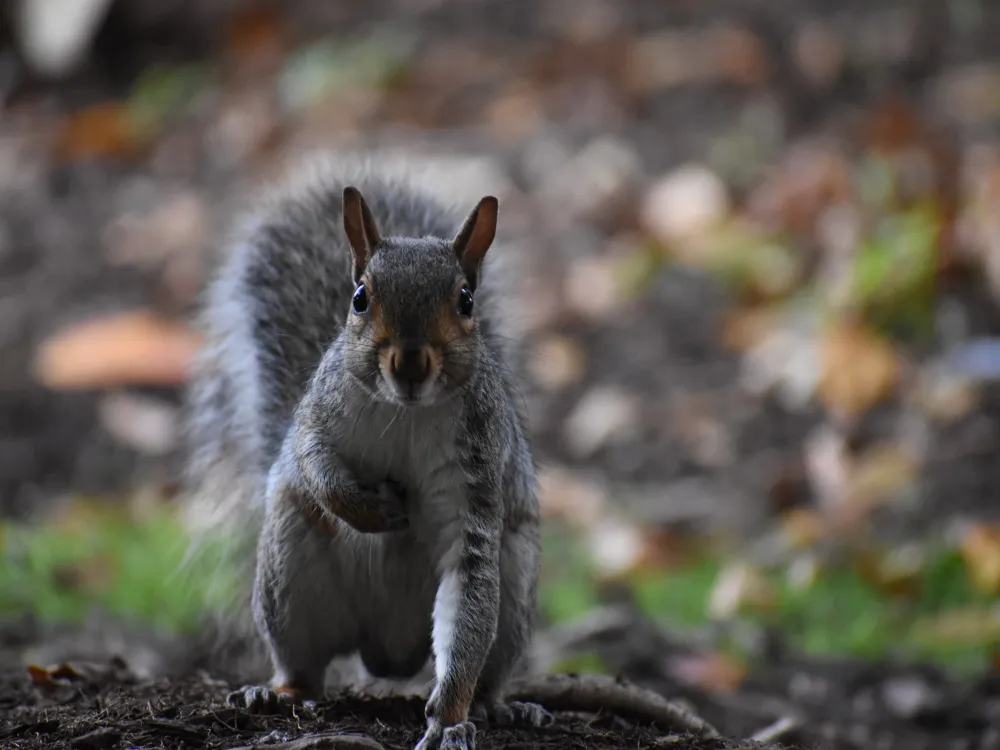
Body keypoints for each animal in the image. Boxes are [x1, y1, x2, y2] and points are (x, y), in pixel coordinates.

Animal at [182, 154, 556, 750]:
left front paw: (448, 719)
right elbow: (312, 462)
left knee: (489, 664)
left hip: (515, 581)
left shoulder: (476, 478)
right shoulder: (318, 416)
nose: (410, 362)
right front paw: (371, 511)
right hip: (290, 575)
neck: (408, 412)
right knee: (304, 666)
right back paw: (277, 692)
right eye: (360, 297)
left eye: (466, 300)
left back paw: (499, 706)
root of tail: (390, 653)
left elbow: (467, 602)